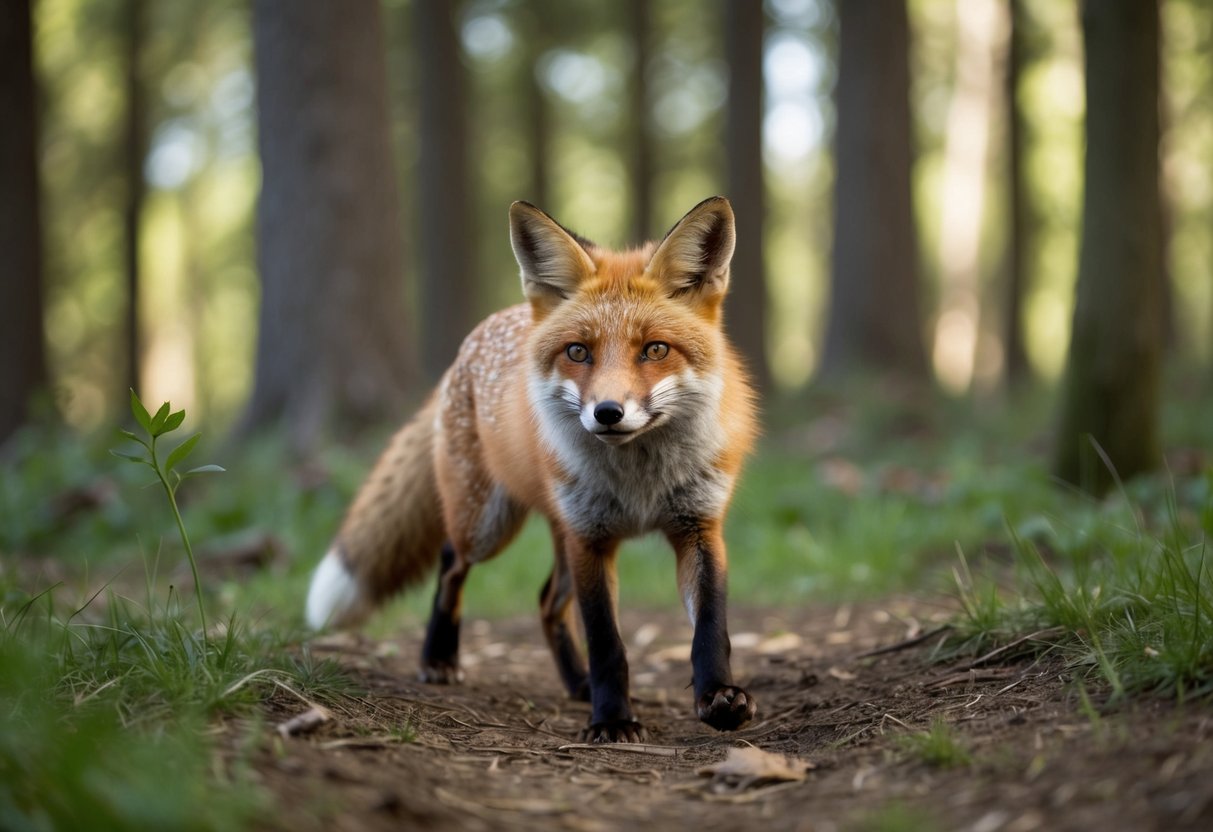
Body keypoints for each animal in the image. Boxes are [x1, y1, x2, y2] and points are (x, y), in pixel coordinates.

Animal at [306, 196, 758, 742]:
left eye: (655, 349)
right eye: (578, 351)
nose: (608, 412)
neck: (640, 484)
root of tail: (474, 340)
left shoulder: (698, 527)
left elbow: (710, 630)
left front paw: (718, 698)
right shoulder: (590, 539)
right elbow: (607, 643)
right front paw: (612, 719)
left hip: (557, 535)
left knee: (545, 602)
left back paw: (576, 682)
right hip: (488, 525)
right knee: (450, 562)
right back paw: (439, 657)